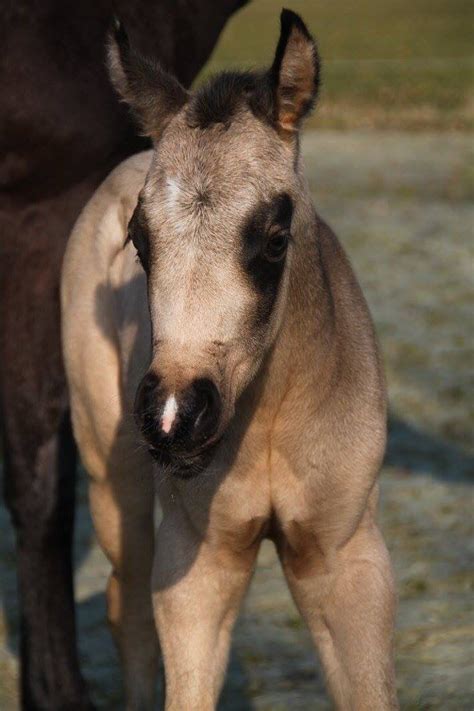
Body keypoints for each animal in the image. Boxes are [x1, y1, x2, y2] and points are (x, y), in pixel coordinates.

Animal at [61, 11, 398, 711]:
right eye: (139, 240)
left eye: (274, 239)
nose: (174, 415)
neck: (268, 418)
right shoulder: (200, 561)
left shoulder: (347, 562)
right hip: (111, 477)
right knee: (126, 608)